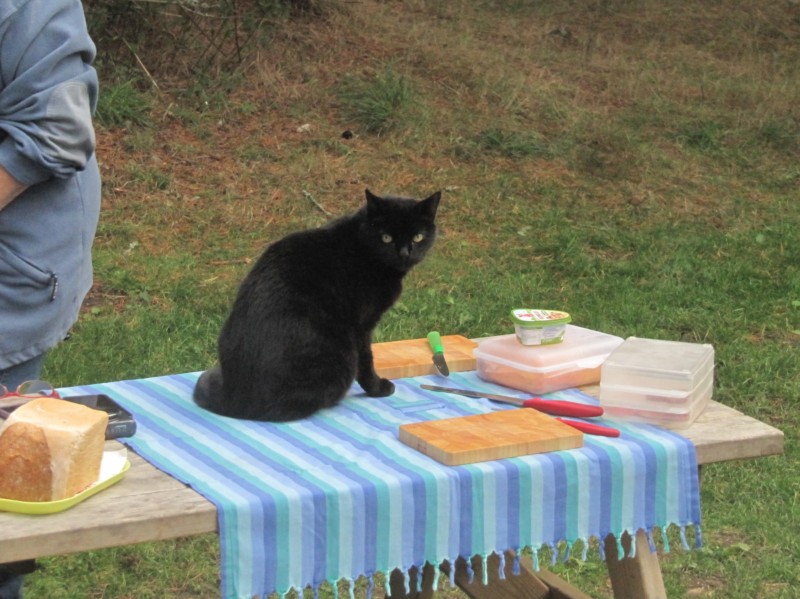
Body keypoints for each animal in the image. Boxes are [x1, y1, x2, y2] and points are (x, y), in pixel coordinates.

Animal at [194, 190, 444, 420]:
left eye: (418, 237)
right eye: (386, 238)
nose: (404, 253)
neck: (362, 247)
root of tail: (236, 398)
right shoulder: (362, 326)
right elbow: (366, 361)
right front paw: (377, 388)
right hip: (342, 355)